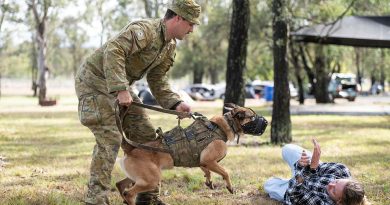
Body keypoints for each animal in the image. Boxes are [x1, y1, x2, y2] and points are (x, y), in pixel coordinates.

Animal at [116, 104, 268, 205]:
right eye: (252, 117)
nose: (266, 121)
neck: (223, 126)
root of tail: (130, 149)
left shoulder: (202, 161)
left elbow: (207, 171)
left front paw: (209, 180)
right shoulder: (209, 160)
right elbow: (225, 173)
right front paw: (230, 187)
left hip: (141, 177)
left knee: (120, 185)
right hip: (152, 179)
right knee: (129, 193)